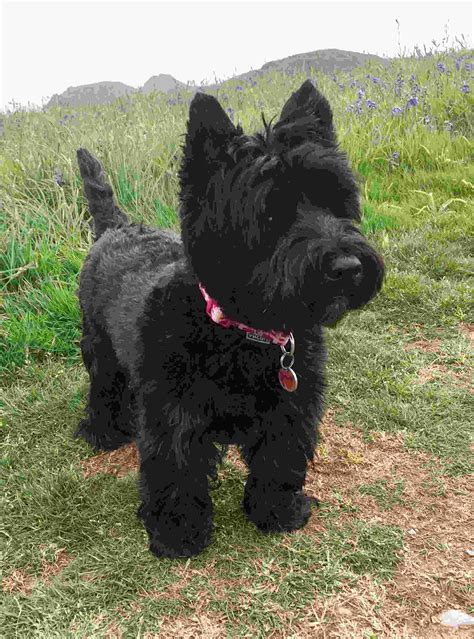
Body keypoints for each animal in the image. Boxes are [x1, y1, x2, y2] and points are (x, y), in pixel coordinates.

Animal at [75, 81, 386, 560]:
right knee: (103, 390)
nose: (349, 266)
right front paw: (178, 534)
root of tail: (116, 226)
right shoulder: (174, 415)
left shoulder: (291, 409)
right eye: (269, 212)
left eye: (335, 200)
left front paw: (278, 512)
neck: (242, 332)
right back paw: (103, 432)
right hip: (99, 349)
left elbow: (280, 459)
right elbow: (176, 470)